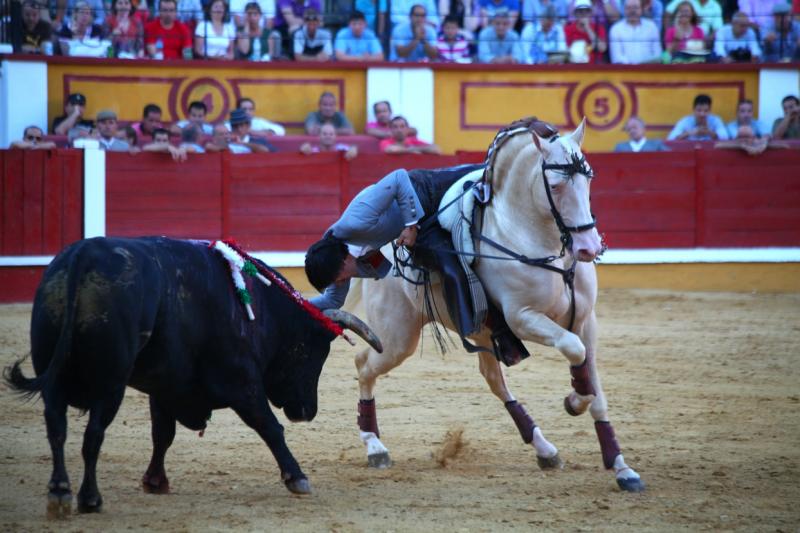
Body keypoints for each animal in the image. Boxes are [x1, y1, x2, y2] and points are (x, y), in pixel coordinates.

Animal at [3, 237, 380, 516]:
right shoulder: (241, 380)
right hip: (111, 383)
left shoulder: (165, 386)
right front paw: (297, 477)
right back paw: (89, 498)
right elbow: (269, 426)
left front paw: (155, 481)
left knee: (56, 426)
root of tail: (83, 255)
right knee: (93, 434)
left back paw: (59, 492)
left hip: (52, 373)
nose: (308, 411)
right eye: (314, 351)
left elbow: (162, 434)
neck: (260, 308)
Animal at [348, 116, 644, 490]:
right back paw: (375, 446)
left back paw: (545, 449)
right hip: (399, 337)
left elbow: (596, 390)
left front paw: (622, 467)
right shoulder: (523, 318)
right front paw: (575, 399)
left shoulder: (585, 321)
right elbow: (574, 352)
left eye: (589, 177)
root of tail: (384, 247)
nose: (588, 247)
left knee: (492, 379)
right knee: (364, 364)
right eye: (556, 186)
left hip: (482, 333)